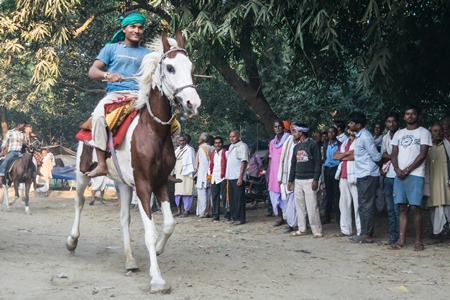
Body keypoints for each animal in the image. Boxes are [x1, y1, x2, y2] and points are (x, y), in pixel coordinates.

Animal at [65, 31, 200, 292]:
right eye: (170, 67)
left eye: (192, 67)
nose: (193, 104)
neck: (153, 131)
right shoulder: (144, 184)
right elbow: (150, 231)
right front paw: (157, 279)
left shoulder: (160, 182)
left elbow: (168, 225)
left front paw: (158, 250)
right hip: (83, 173)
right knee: (78, 203)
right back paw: (72, 241)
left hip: (124, 184)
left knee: (124, 219)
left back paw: (130, 260)